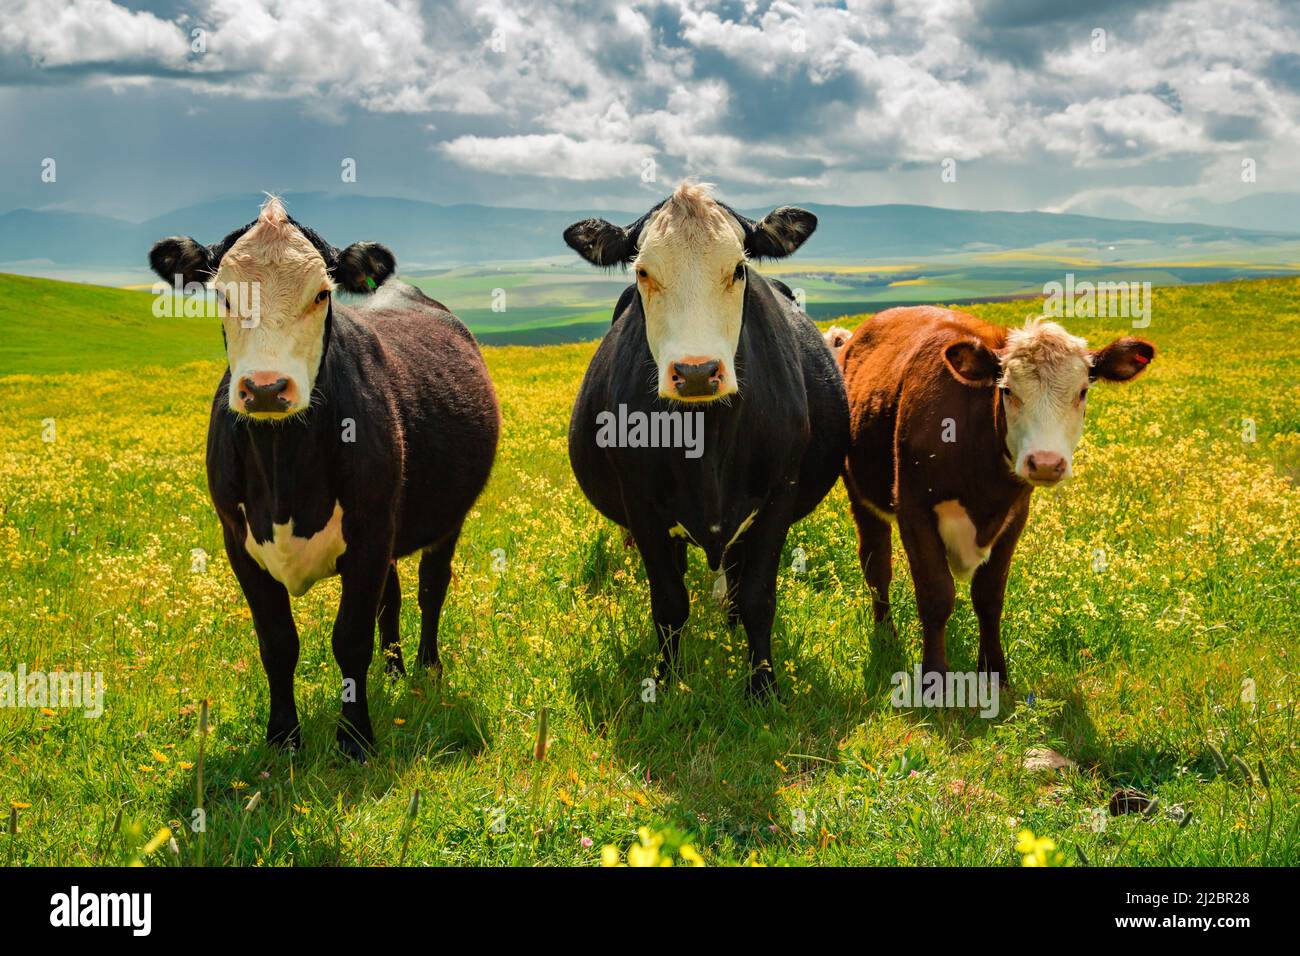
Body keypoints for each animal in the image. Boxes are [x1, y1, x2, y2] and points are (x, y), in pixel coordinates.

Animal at [148, 197, 499, 759]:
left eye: (321, 294)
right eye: (223, 294)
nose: (266, 389)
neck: (283, 470)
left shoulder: (371, 530)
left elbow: (350, 638)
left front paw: (354, 739)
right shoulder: (237, 539)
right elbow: (277, 642)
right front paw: (282, 737)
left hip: (446, 518)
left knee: (431, 587)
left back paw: (427, 670)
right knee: (393, 595)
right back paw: (395, 671)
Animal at [563, 182, 849, 696]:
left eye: (738, 268)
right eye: (643, 271)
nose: (696, 371)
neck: (707, 441)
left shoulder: (780, 494)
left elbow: (758, 597)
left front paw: (762, 686)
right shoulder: (640, 503)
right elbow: (669, 602)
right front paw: (665, 682)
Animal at [840, 305, 1154, 687]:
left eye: (1082, 392)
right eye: (1007, 390)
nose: (1046, 462)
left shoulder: (1015, 514)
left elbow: (989, 596)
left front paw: (995, 673)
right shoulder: (913, 508)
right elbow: (935, 595)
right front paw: (934, 679)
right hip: (861, 496)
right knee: (876, 566)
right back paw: (886, 637)